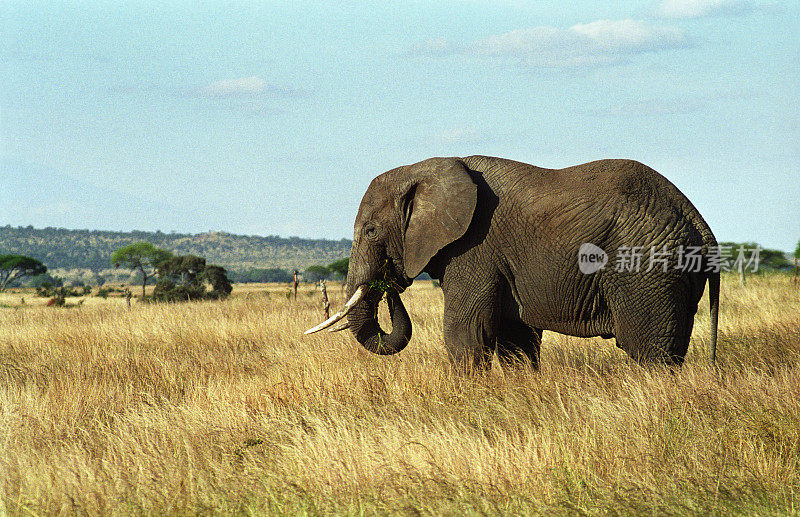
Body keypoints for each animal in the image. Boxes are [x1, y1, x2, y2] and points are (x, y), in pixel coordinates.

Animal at [306, 155, 720, 368]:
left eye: (371, 230)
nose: (388, 280)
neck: (424, 168)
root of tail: (698, 222)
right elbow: (516, 338)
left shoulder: (475, 249)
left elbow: (466, 333)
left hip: (646, 268)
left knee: (649, 351)